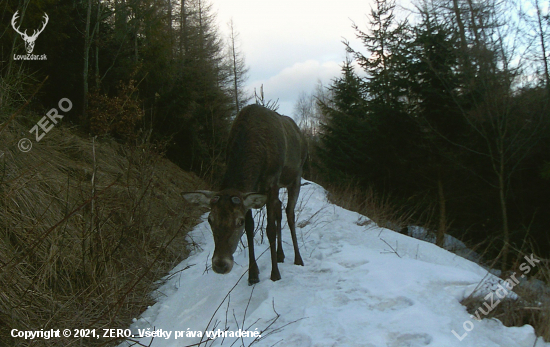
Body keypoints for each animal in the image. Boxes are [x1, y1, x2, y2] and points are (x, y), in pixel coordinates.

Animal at [183, 105, 308, 286]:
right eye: (210, 220)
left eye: (238, 222)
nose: (221, 265)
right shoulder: (251, 192)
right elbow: (250, 229)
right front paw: (253, 274)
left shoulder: (272, 183)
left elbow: (269, 229)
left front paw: (275, 274)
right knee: (279, 210)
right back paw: (280, 254)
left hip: (295, 177)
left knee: (290, 214)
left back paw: (298, 259)